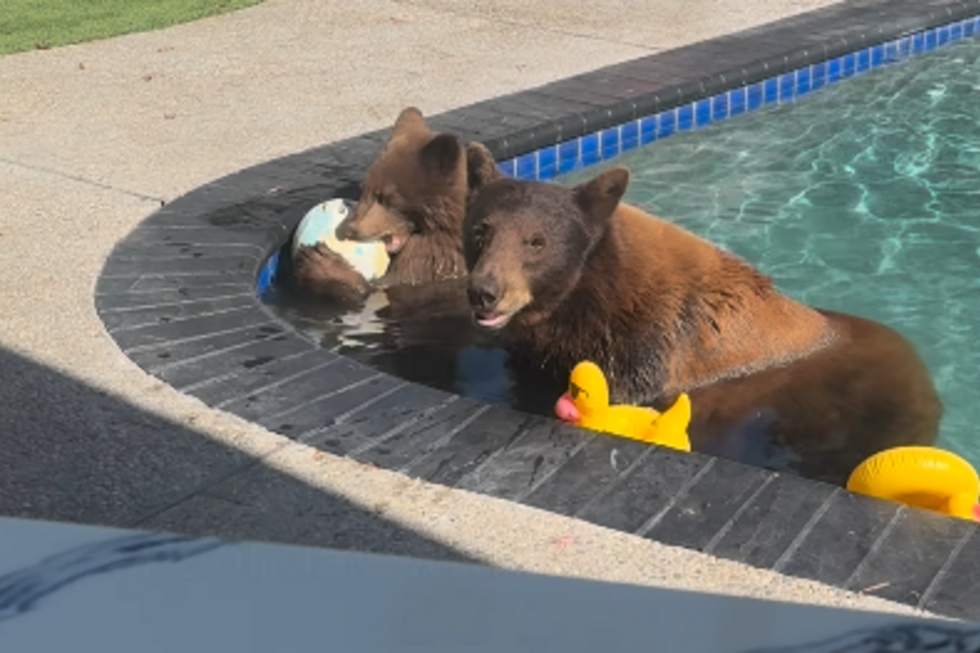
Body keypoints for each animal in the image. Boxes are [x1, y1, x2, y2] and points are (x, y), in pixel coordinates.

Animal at [290, 107, 469, 306]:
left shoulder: (433, 263)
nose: (348, 228)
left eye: (387, 199)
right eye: (364, 189)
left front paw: (319, 261)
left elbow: (382, 287)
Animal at [461, 142, 943, 485]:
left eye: (536, 241)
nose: (485, 292)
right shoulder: (541, 354)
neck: (587, 301)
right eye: (481, 230)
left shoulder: (650, 347)